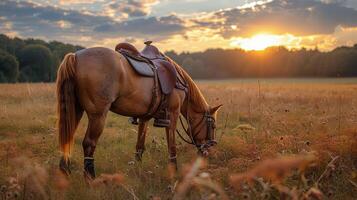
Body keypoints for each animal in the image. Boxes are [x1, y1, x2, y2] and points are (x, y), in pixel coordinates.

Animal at [55, 46, 220, 179]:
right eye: (213, 126)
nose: (208, 151)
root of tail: (75, 56)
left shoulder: (144, 117)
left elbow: (139, 146)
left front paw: (137, 168)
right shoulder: (173, 114)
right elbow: (171, 147)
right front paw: (174, 171)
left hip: (75, 111)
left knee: (67, 139)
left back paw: (64, 174)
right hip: (98, 115)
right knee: (89, 143)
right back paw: (90, 179)